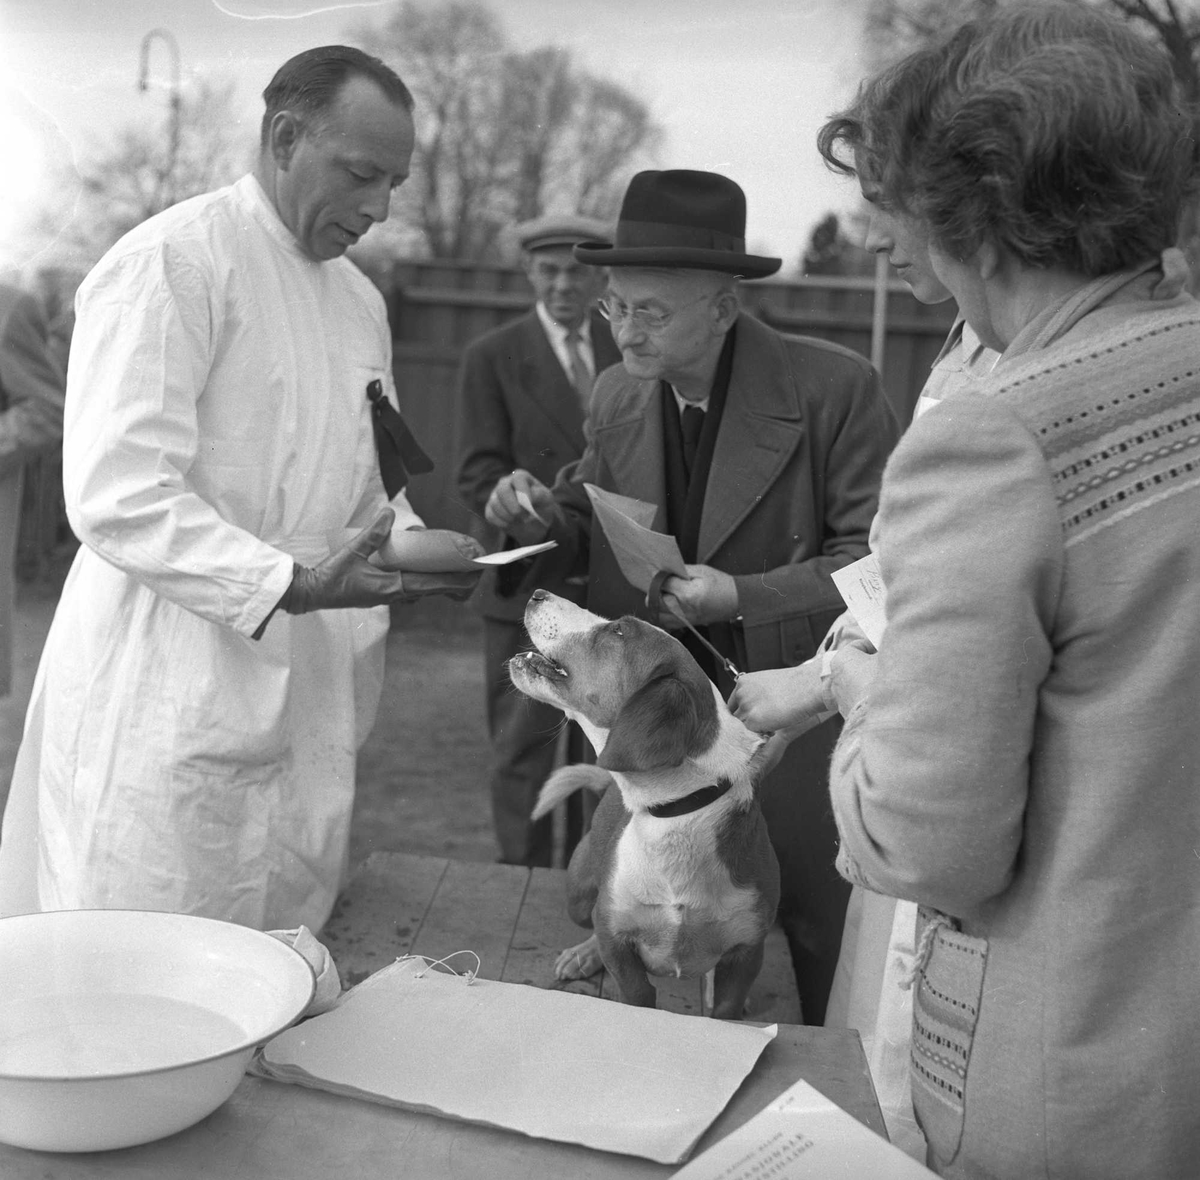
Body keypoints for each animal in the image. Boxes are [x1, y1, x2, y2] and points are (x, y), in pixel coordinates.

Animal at [504, 588, 777, 1013]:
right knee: (590, 919)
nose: (538, 593)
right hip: (578, 892)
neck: (678, 812)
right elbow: (634, 992)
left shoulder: (749, 950)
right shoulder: (618, 942)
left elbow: (726, 1008)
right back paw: (584, 952)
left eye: (618, 630)